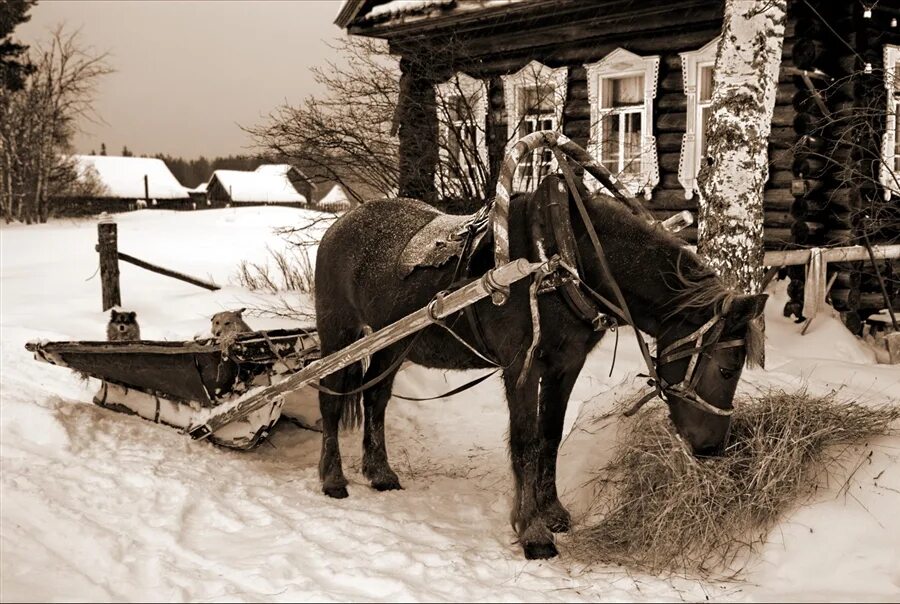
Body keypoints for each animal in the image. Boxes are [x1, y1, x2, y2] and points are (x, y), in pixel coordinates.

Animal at [312, 176, 764, 560]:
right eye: (727, 370)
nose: (713, 449)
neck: (563, 259)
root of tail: (340, 224)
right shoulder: (522, 366)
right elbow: (526, 442)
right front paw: (532, 531)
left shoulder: (567, 365)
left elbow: (550, 435)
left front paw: (553, 512)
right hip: (341, 334)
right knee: (331, 401)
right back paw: (333, 479)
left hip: (392, 344)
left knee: (376, 397)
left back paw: (379, 472)